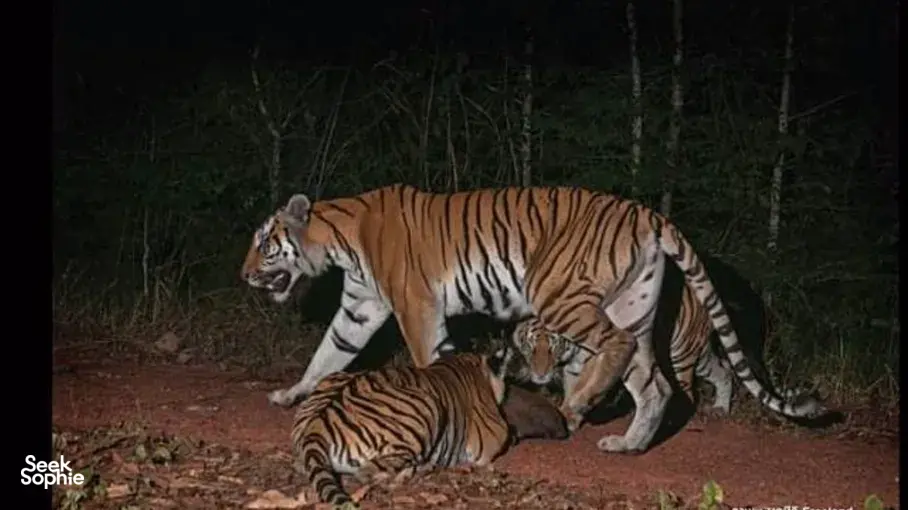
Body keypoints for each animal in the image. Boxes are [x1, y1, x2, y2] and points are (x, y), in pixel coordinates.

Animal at [241, 183, 825, 454]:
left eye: (265, 245)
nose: (244, 274)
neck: (339, 240)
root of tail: (648, 212)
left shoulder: (414, 306)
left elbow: (429, 358)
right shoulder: (360, 308)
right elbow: (327, 354)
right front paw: (289, 395)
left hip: (560, 293)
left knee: (615, 348)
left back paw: (578, 401)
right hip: (633, 306)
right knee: (654, 383)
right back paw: (627, 443)